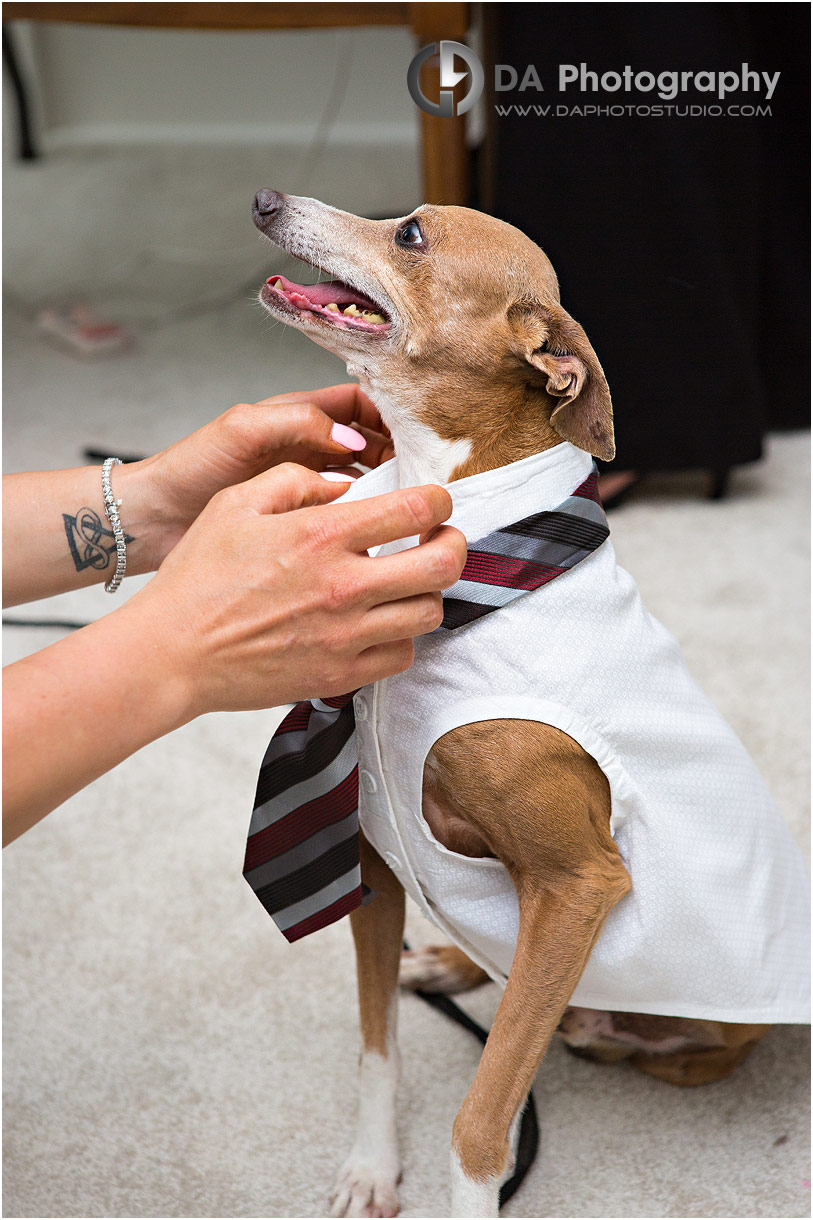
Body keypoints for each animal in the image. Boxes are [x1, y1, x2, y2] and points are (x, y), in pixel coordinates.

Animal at [253, 185, 805, 1215]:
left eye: (411, 234)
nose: (267, 199)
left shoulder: (577, 883)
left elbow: (481, 1121)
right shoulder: (374, 858)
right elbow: (377, 1043)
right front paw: (371, 1166)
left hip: (693, 1019)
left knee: (659, 1046)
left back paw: (595, 1024)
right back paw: (455, 963)